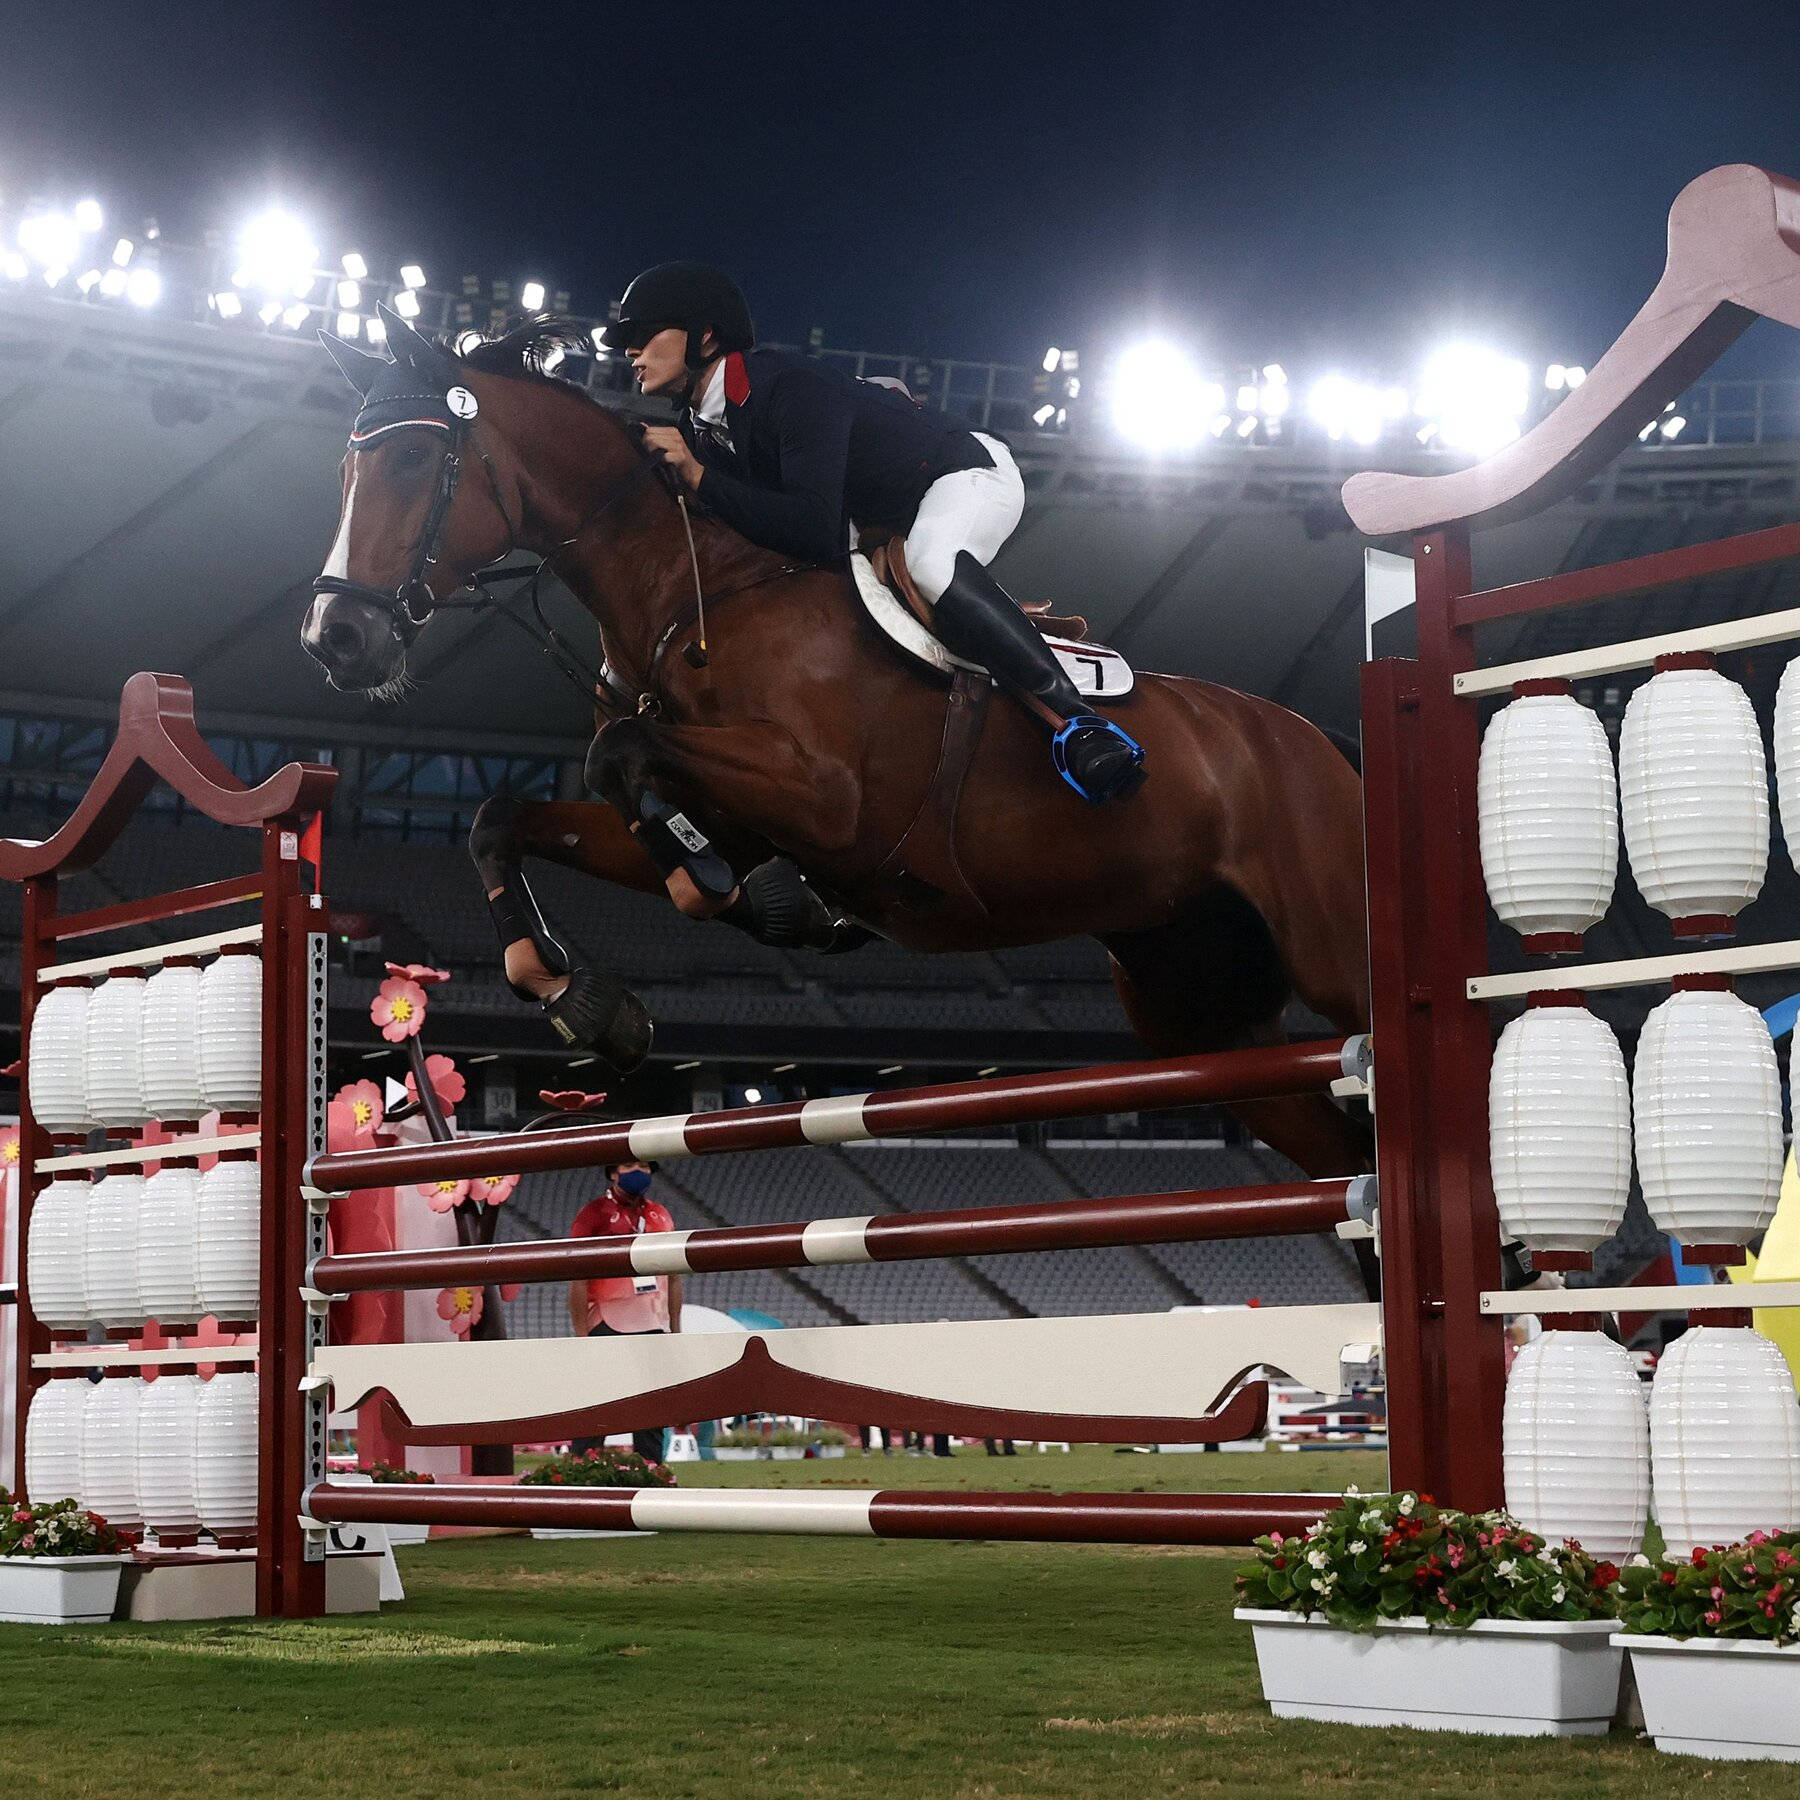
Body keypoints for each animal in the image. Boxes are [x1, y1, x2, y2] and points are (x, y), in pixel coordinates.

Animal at [302, 316, 1368, 1188]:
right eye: (343, 471)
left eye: (411, 459)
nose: (334, 640)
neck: (693, 592)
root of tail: (1324, 739)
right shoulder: (735, 803)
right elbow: (511, 815)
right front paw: (592, 995)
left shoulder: (826, 798)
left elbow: (626, 756)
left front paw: (735, 899)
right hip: (1202, 1011)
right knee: (1344, 1158)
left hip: (1329, 960)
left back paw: (1097, 749)